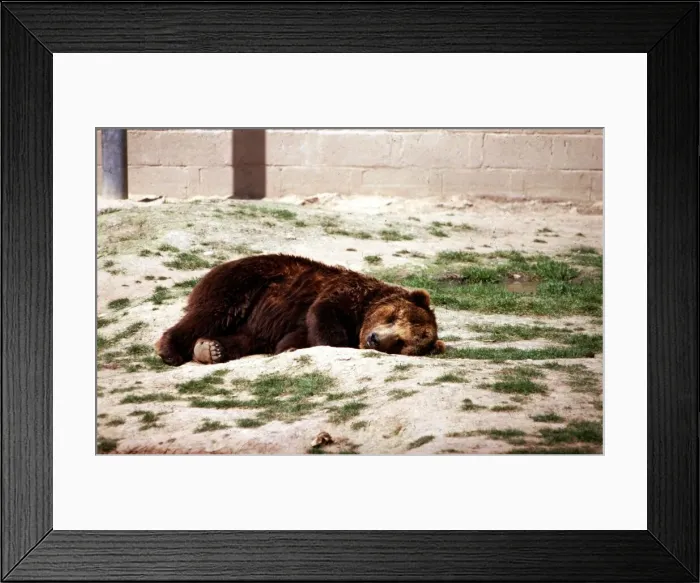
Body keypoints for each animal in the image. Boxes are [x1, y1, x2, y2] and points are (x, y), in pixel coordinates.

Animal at [155, 253, 446, 366]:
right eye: (392, 316)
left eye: (401, 342)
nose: (375, 339)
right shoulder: (345, 292)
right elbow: (323, 315)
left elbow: (293, 338)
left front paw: (290, 347)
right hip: (245, 284)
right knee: (212, 313)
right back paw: (170, 349)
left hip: (256, 322)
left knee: (245, 338)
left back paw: (212, 349)